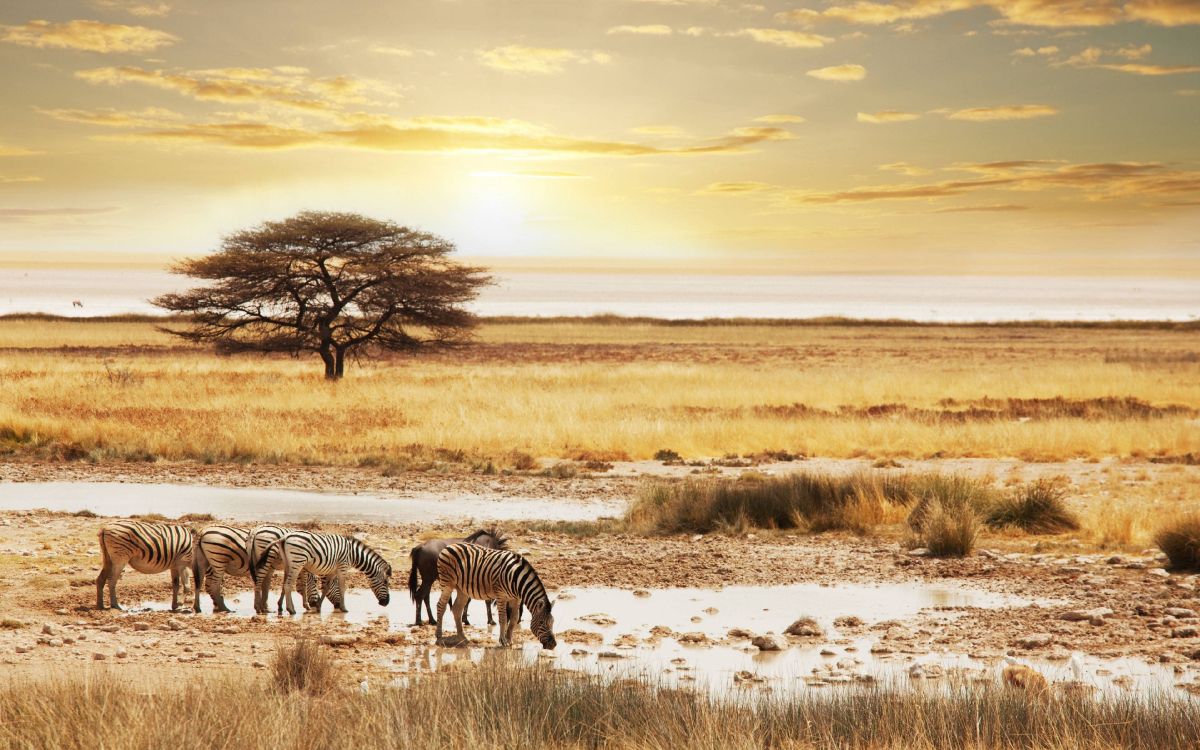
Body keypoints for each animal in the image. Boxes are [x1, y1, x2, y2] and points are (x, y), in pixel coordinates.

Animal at [254, 525, 393, 614]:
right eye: (386, 582)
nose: (386, 603)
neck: (353, 554)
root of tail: (283, 538)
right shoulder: (343, 567)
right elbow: (342, 588)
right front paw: (344, 608)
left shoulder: (332, 571)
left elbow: (326, 588)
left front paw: (319, 607)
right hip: (297, 562)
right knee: (287, 584)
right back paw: (290, 610)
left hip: (289, 563)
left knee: (283, 584)